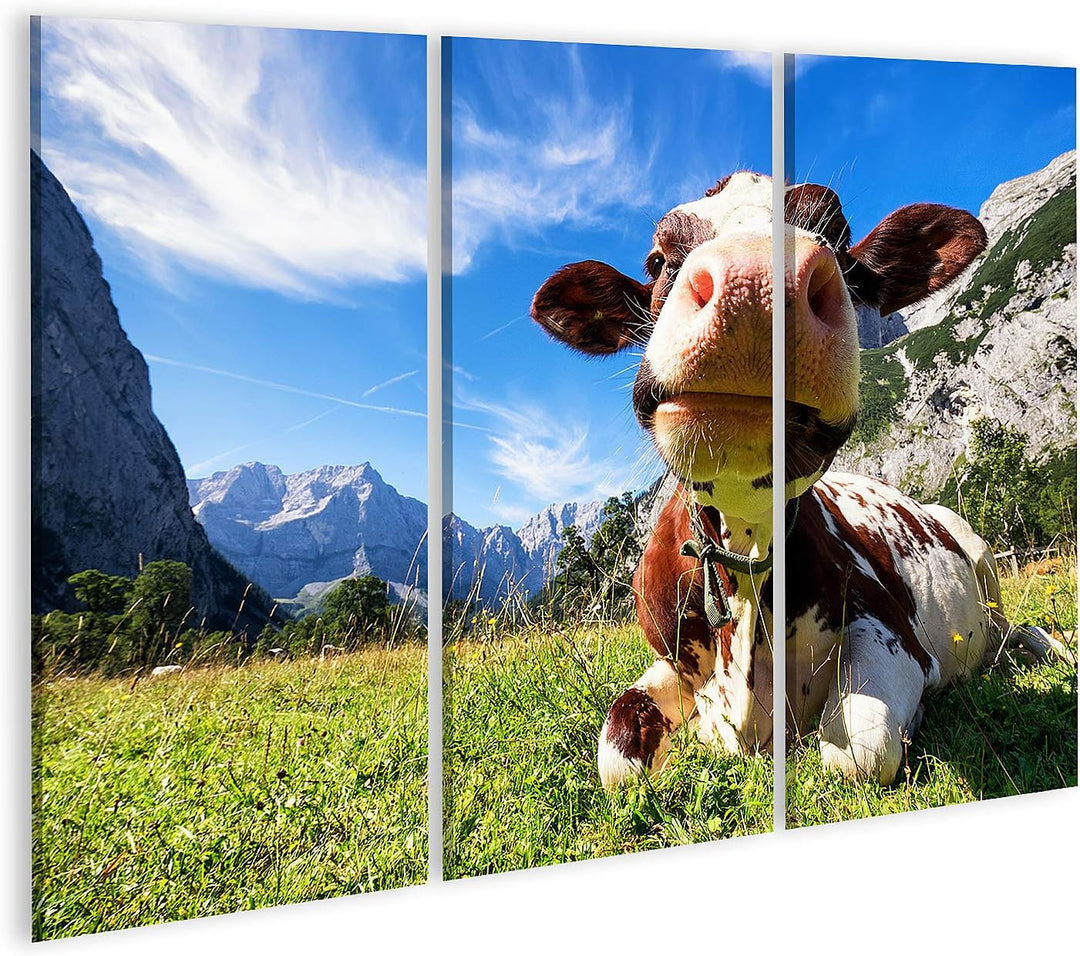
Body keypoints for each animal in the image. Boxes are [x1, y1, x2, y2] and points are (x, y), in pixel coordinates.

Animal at [530, 171, 1010, 786]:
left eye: (838, 237)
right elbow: (616, 753)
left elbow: (857, 748)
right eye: (657, 259)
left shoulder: (893, 629)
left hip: (978, 551)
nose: (755, 282)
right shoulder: (668, 661)